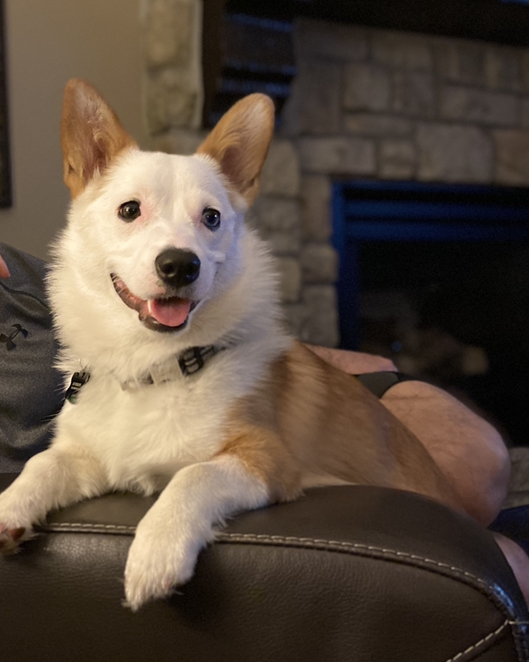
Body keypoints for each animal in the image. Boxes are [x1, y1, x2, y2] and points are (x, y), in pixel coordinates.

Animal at [0, 81, 462, 612]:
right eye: (130, 210)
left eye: (212, 217)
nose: (180, 266)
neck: (154, 365)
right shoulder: (87, 458)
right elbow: (42, 463)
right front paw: (8, 507)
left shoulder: (266, 459)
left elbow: (191, 477)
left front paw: (156, 551)